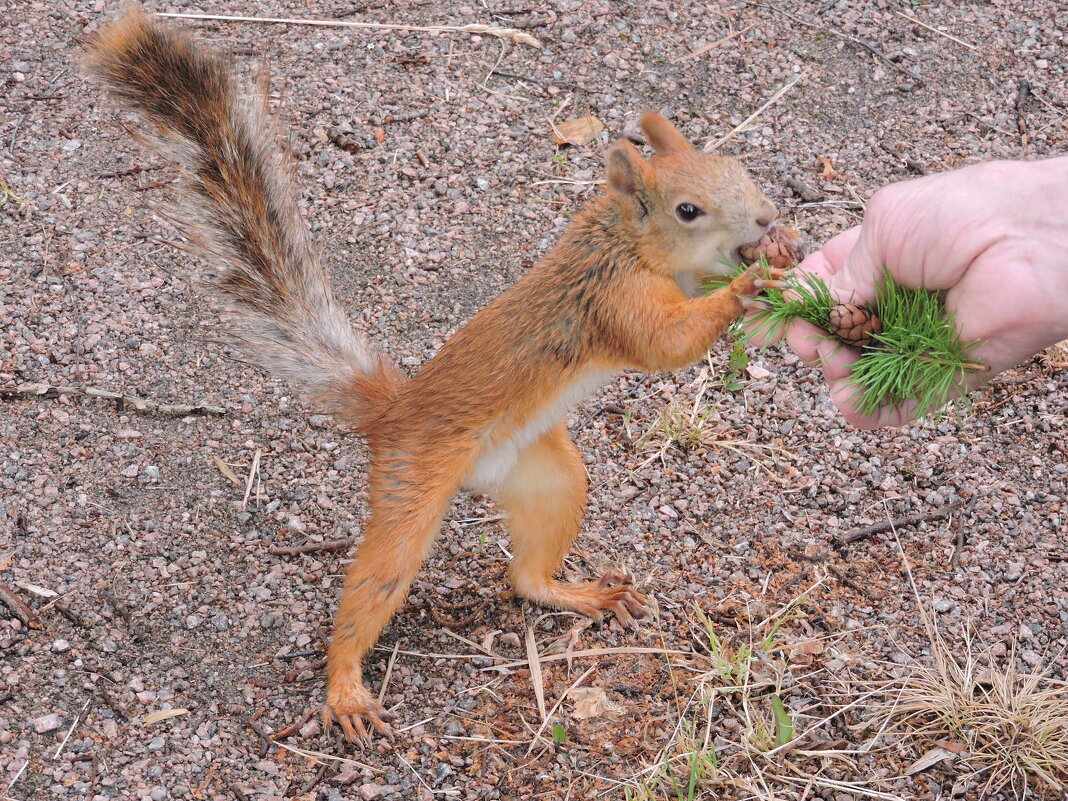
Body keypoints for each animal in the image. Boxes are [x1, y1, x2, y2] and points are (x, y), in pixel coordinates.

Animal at [85, 7, 786, 747]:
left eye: (740, 170)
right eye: (688, 209)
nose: (768, 215)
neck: (622, 241)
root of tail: (393, 411)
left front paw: (781, 251)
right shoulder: (614, 301)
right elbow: (667, 345)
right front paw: (752, 283)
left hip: (550, 478)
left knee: (525, 576)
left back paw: (578, 593)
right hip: (412, 485)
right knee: (375, 583)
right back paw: (345, 687)